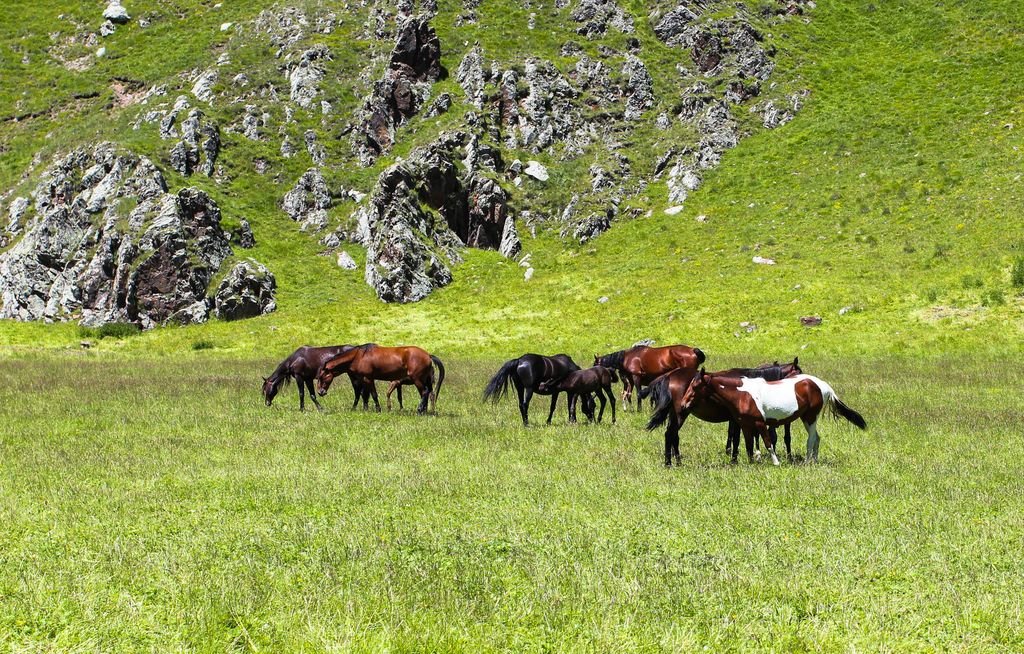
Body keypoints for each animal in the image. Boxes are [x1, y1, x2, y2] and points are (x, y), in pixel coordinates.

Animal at [311, 343, 440, 413]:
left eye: (322, 376)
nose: (320, 392)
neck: (358, 356)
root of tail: (428, 355)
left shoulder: (368, 378)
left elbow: (373, 394)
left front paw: (378, 409)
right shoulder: (363, 379)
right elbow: (365, 395)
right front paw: (365, 409)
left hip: (417, 379)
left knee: (424, 392)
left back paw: (419, 410)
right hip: (425, 380)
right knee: (428, 393)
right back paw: (425, 410)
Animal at [643, 360, 802, 468]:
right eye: (798, 373)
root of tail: (670, 375)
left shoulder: (737, 420)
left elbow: (737, 437)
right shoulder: (738, 420)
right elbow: (737, 438)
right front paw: (734, 460)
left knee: (673, 436)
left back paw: (676, 461)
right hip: (681, 414)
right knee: (671, 434)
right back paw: (670, 463)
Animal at [679, 368, 864, 466]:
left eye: (695, 386)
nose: (683, 404)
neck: (742, 394)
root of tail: (822, 385)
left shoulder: (760, 423)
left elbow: (768, 442)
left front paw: (776, 463)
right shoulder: (745, 426)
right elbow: (748, 445)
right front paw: (752, 463)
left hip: (810, 417)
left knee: (811, 438)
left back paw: (807, 461)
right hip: (807, 418)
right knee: (817, 438)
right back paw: (814, 460)